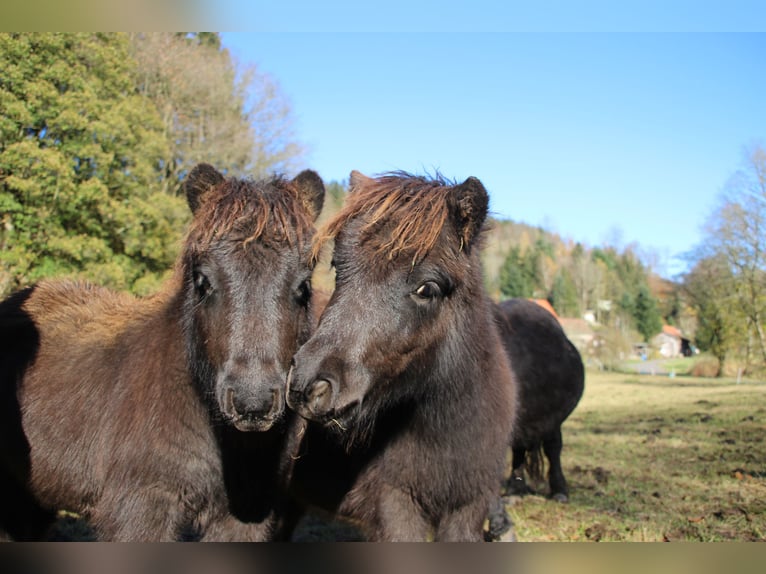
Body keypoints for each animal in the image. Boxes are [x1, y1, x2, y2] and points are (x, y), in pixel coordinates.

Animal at [284, 171, 520, 544]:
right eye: (338, 268)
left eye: (428, 289)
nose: (309, 385)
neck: (445, 433)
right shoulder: (396, 507)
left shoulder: (468, 508)